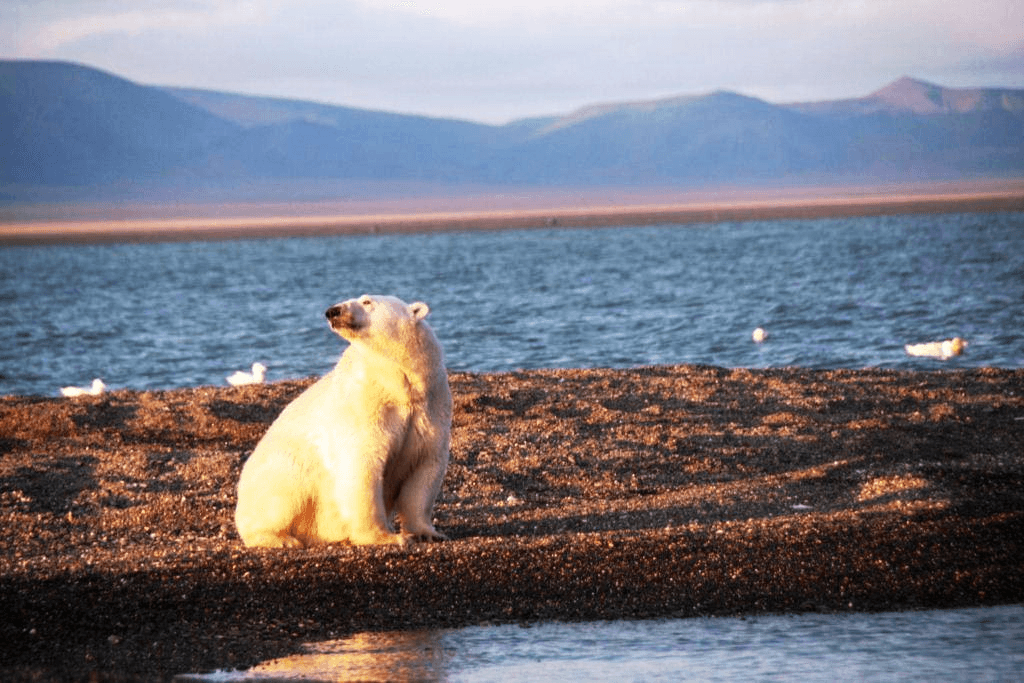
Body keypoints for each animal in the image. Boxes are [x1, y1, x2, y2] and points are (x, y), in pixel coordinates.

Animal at [237, 294, 454, 548]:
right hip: (278, 472)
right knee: (282, 490)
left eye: (367, 301)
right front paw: (386, 537)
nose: (333, 311)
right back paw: (280, 538)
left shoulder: (430, 407)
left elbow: (424, 471)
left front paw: (427, 533)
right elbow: (362, 465)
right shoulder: (364, 406)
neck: (397, 384)